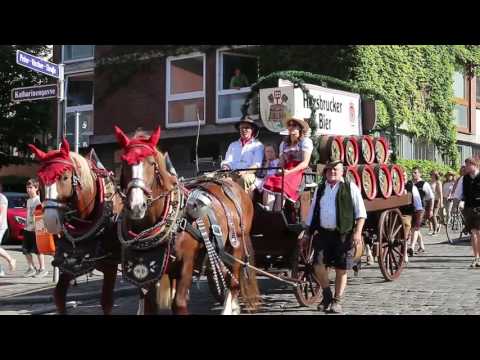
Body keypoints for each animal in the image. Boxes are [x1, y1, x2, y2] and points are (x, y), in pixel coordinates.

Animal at [28, 139, 123, 314]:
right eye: (40, 179)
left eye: (65, 177)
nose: (50, 221)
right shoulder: (69, 262)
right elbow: (59, 296)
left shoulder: (110, 264)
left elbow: (106, 302)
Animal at [114, 125, 260, 314]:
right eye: (124, 162)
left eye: (152, 163)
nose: (136, 206)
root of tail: (230, 182)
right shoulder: (151, 273)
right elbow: (150, 304)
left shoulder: (187, 263)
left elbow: (179, 303)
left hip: (237, 244)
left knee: (233, 281)